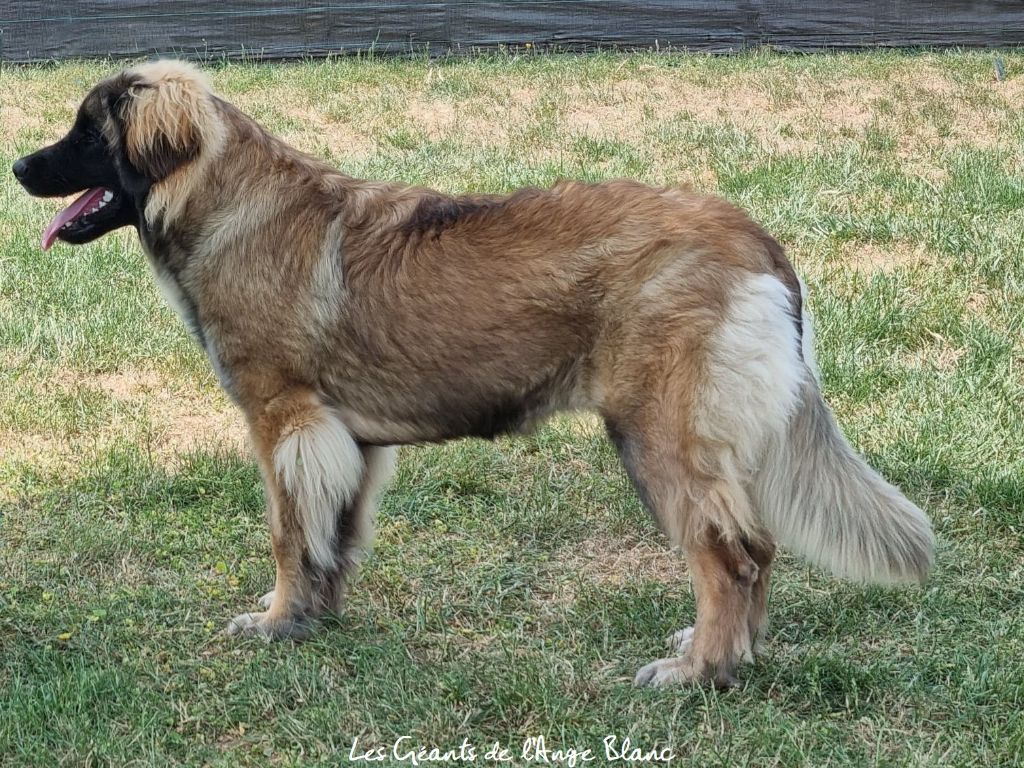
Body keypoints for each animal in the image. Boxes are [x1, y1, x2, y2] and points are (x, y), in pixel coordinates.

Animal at [9, 58, 937, 684]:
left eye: (86, 131)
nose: (17, 167)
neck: (226, 202)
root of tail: (752, 237)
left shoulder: (285, 420)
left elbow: (286, 533)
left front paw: (273, 621)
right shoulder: (346, 441)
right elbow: (330, 539)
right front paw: (314, 620)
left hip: (657, 437)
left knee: (730, 555)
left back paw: (698, 672)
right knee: (757, 548)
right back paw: (733, 655)